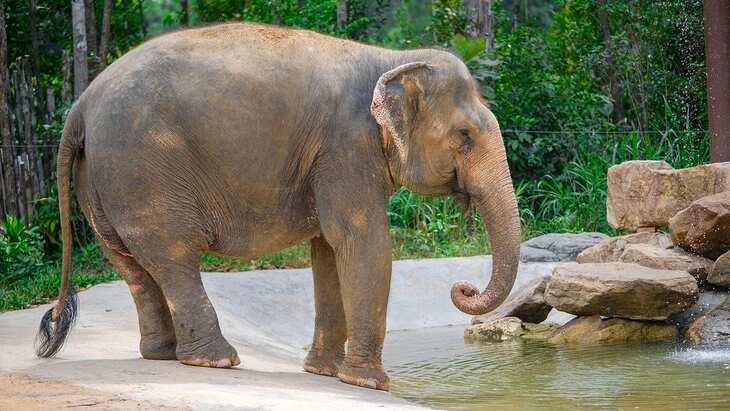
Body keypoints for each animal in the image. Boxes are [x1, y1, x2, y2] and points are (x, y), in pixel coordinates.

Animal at [35, 22, 520, 391]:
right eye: (464, 137)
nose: (463, 288)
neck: (391, 59)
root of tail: (80, 106)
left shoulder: (331, 160)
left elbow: (328, 250)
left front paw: (323, 373)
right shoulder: (347, 147)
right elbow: (363, 242)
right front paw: (370, 384)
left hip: (101, 181)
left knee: (129, 262)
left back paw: (163, 354)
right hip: (142, 171)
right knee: (172, 256)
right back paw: (216, 360)